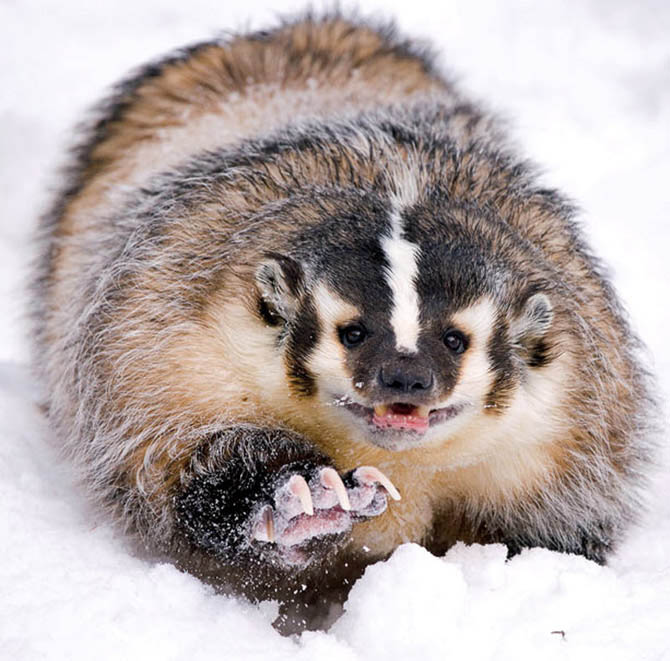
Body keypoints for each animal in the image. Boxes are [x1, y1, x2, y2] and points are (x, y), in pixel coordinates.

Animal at [32, 14, 654, 630]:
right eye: (351, 331)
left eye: (455, 339)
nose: (405, 376)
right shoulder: (161, 354)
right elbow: (180, 471)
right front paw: (311, 500)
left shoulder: (567, 436)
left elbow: (554, 530)